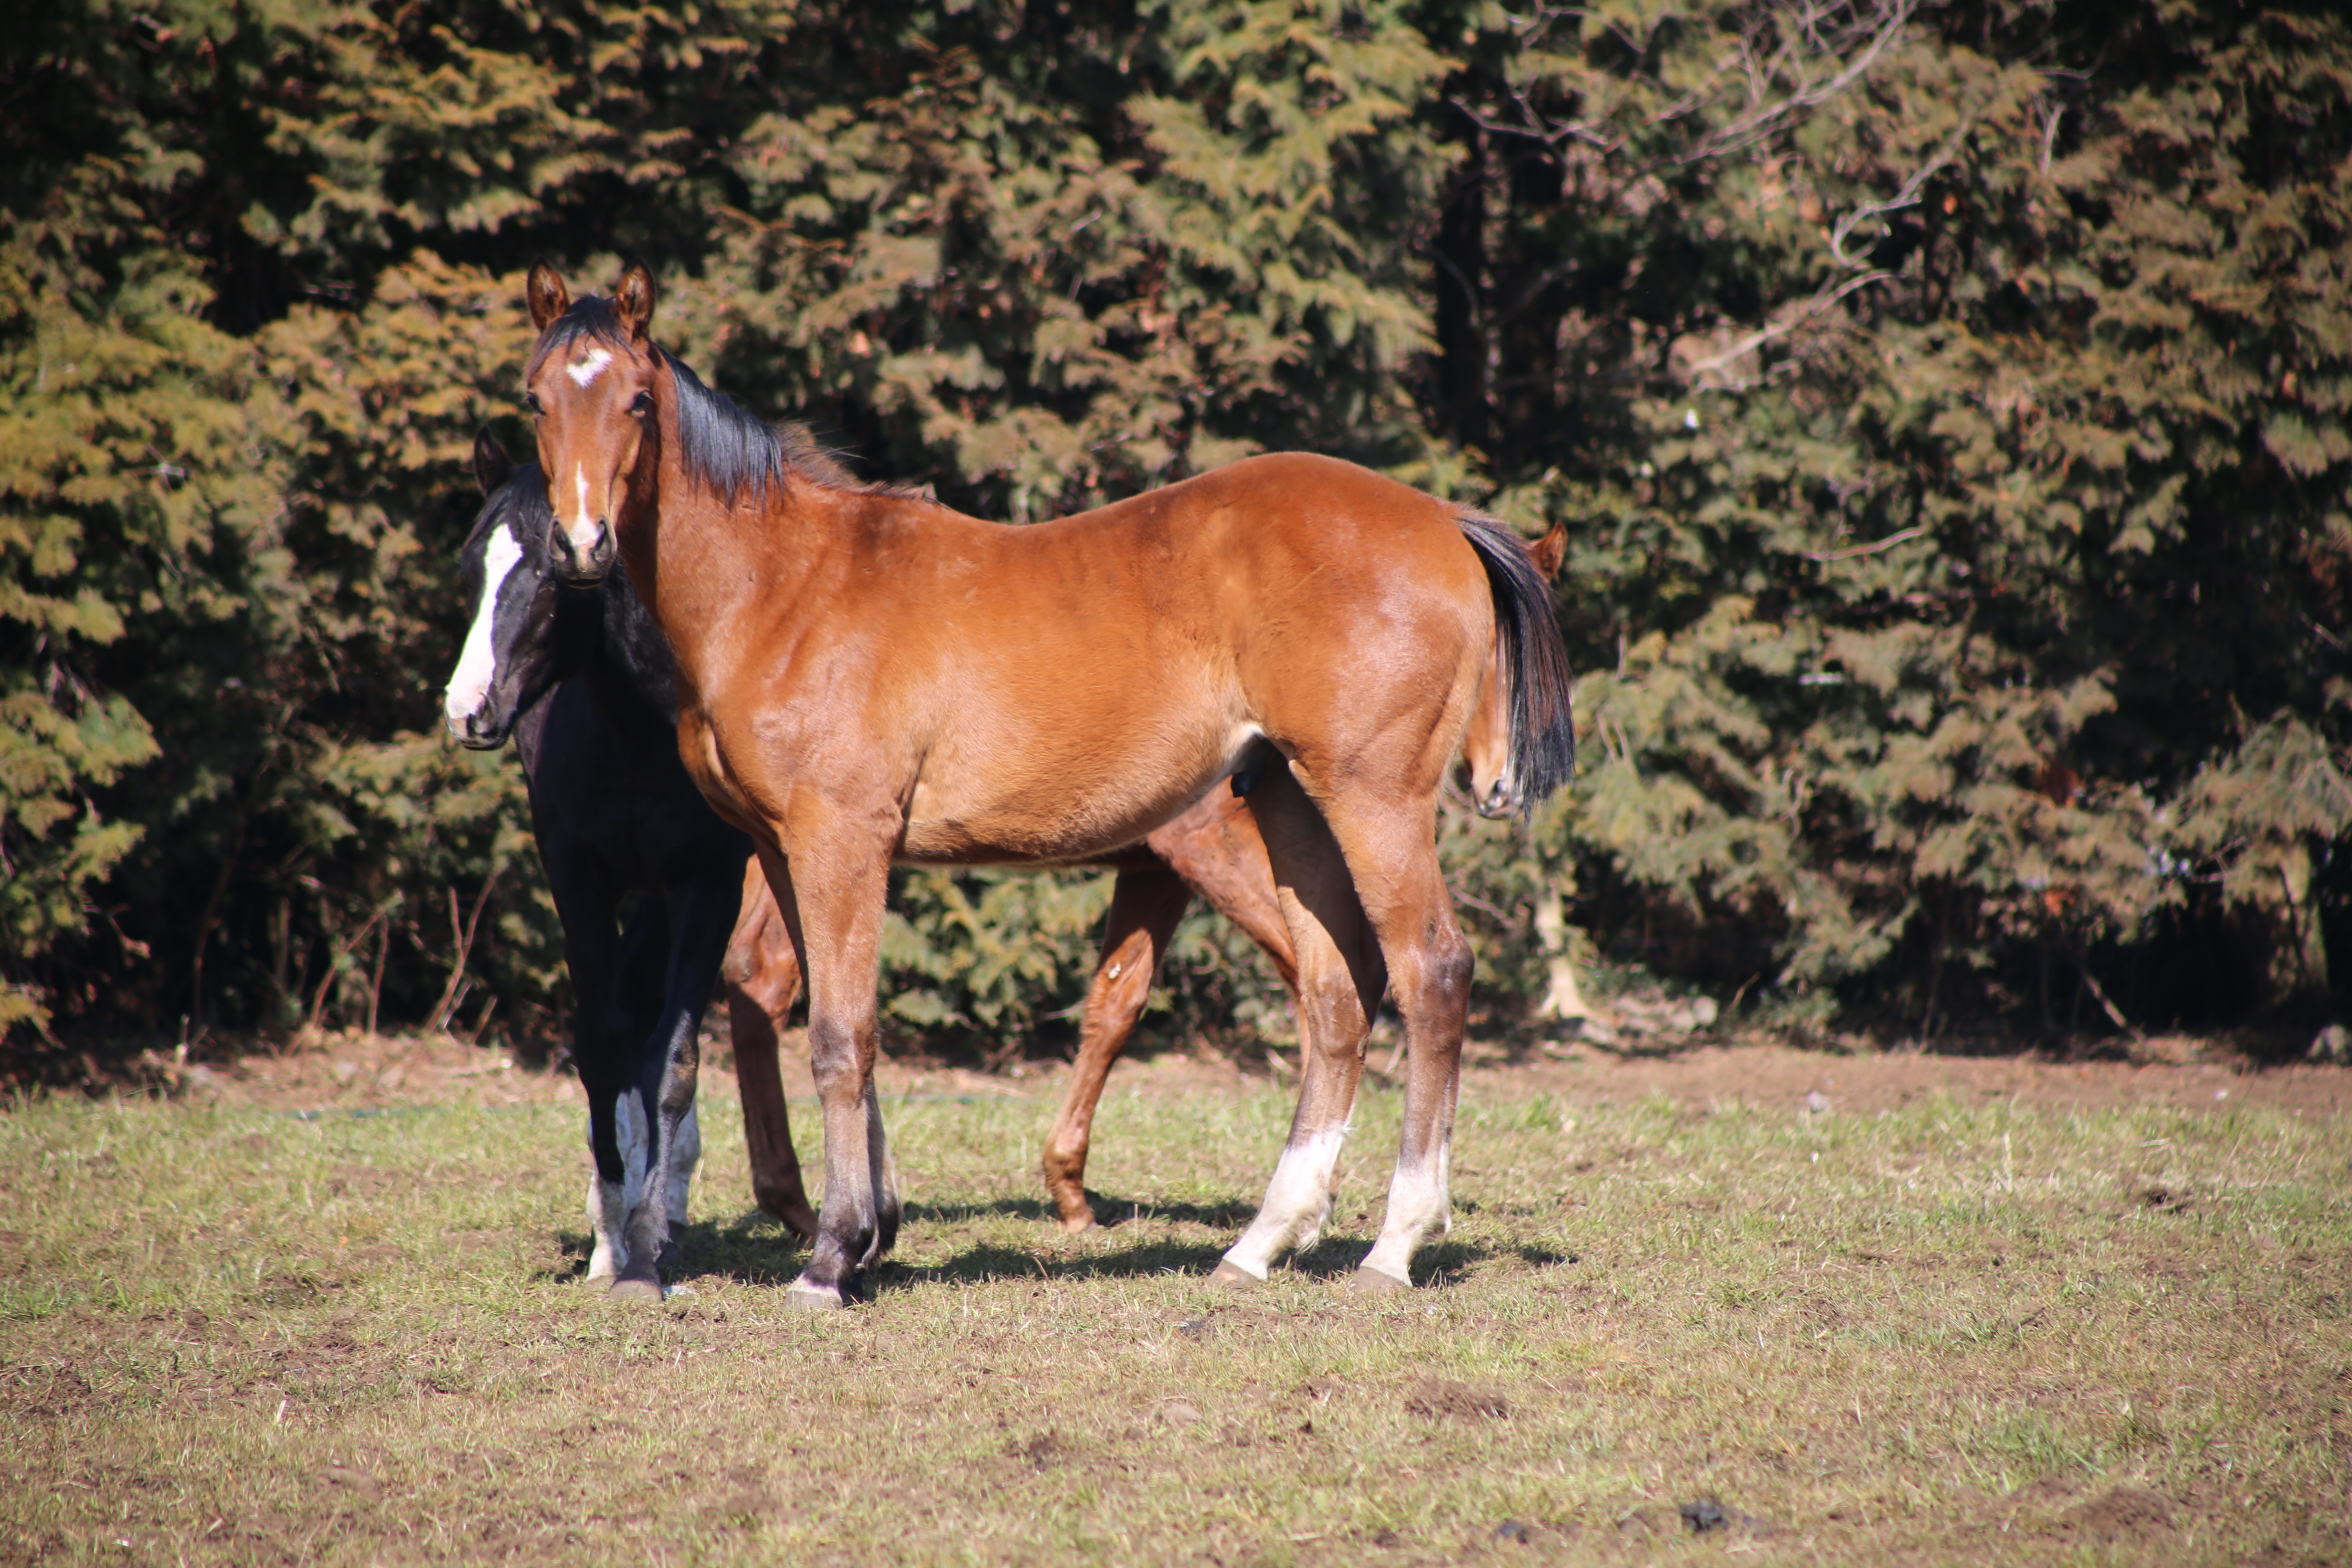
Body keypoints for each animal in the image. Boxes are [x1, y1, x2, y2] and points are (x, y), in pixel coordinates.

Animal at [444, 432, 823, 1297]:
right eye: (470, 567)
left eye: (555, 574)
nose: (467, 710)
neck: (637, 731)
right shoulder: (577, 876)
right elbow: (603, 1045)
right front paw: (614, 1240)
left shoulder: (705, 885)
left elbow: (673, 1060)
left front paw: (648, 1238)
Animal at [524, 263, 1571, 1307]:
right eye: (536, 400)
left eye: (634, 400)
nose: (580, 546)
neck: (789, 587)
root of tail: (1443, 519)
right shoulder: (786, 853)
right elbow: (839, 1027)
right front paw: (861, 1238)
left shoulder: (843, 842)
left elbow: (839, 1039)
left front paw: (831, 1259)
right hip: (1288, 804)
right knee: (1333, 996)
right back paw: (1260, 1242)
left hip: (1371, 799)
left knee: (1431, 971)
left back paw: (1392, 1245)